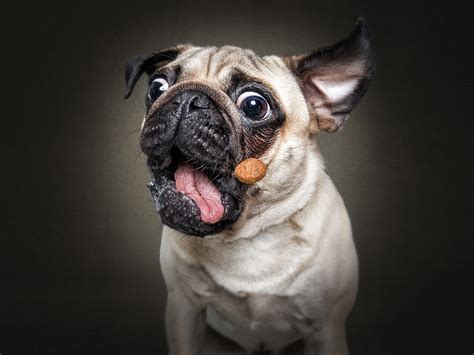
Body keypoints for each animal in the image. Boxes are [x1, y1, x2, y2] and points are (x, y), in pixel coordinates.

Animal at [125, 18, 374, 355]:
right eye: (157, 87)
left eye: (254, 105)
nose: (187, 98)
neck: (246, 237)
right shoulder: (184, 309)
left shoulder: (325, 328)